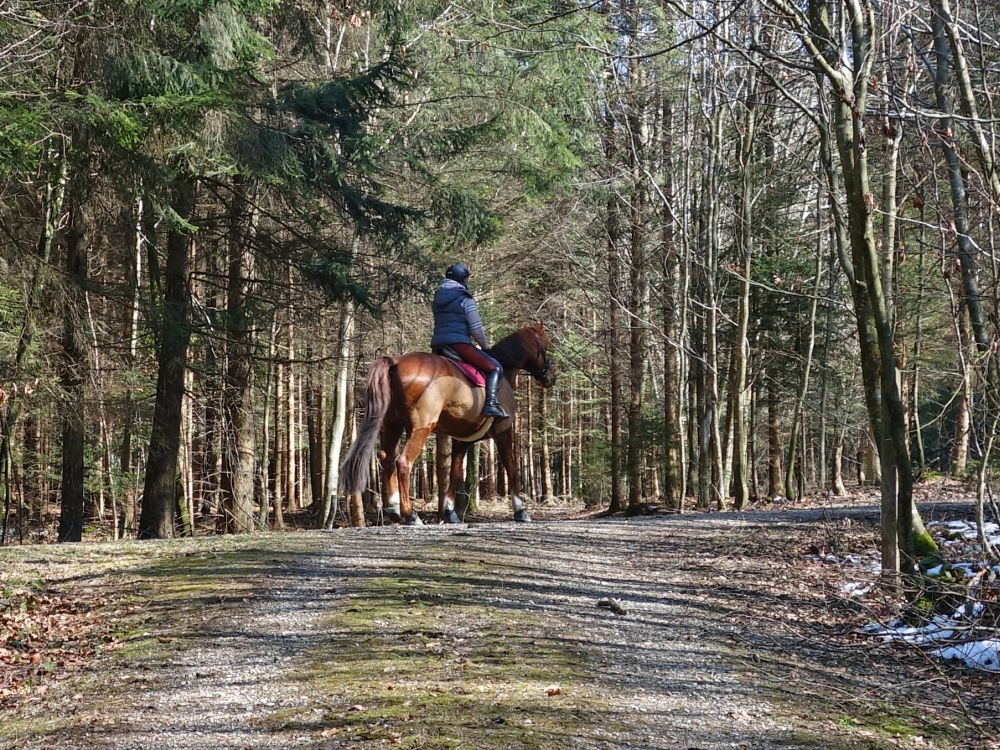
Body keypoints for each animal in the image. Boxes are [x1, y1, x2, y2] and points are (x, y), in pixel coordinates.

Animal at [338, 322, 556, 524]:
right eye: (545, 345)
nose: (550, 378)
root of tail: (396, 362)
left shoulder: (463, 440)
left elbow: (455, 473)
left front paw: (451, 512)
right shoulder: (503, 431)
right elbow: (511, 468)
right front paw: (520, 510)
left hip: (392, 425)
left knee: (387, 457)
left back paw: (393, 508)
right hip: (420, 428)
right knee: (403, 463)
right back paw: (410, 515)